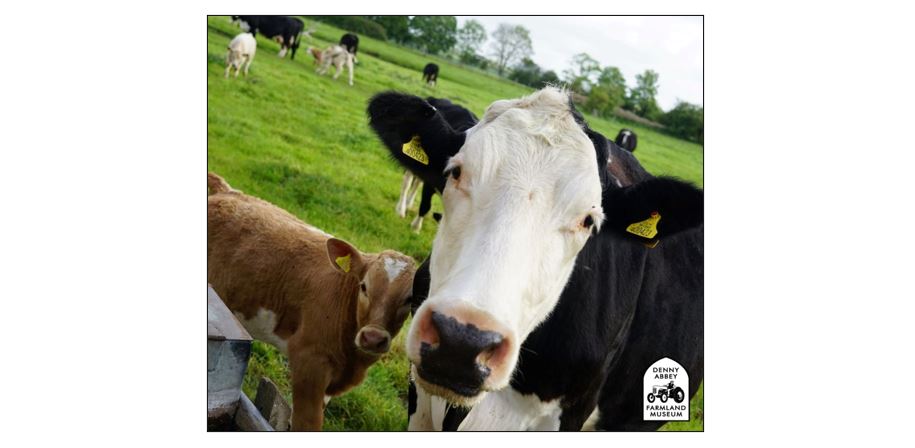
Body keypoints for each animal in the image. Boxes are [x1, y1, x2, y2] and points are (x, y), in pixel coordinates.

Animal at [207, 173, 416, 431]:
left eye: (410, 299)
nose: (373, 337)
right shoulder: (309, 362)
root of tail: (228, 191)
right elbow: (307, 422)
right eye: (364, 286)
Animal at [391, 97, 477, 232]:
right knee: (407, 182)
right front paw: (416, 227)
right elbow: (425, 206)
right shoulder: (430, 184)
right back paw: (401, 209)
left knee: (416, 183)